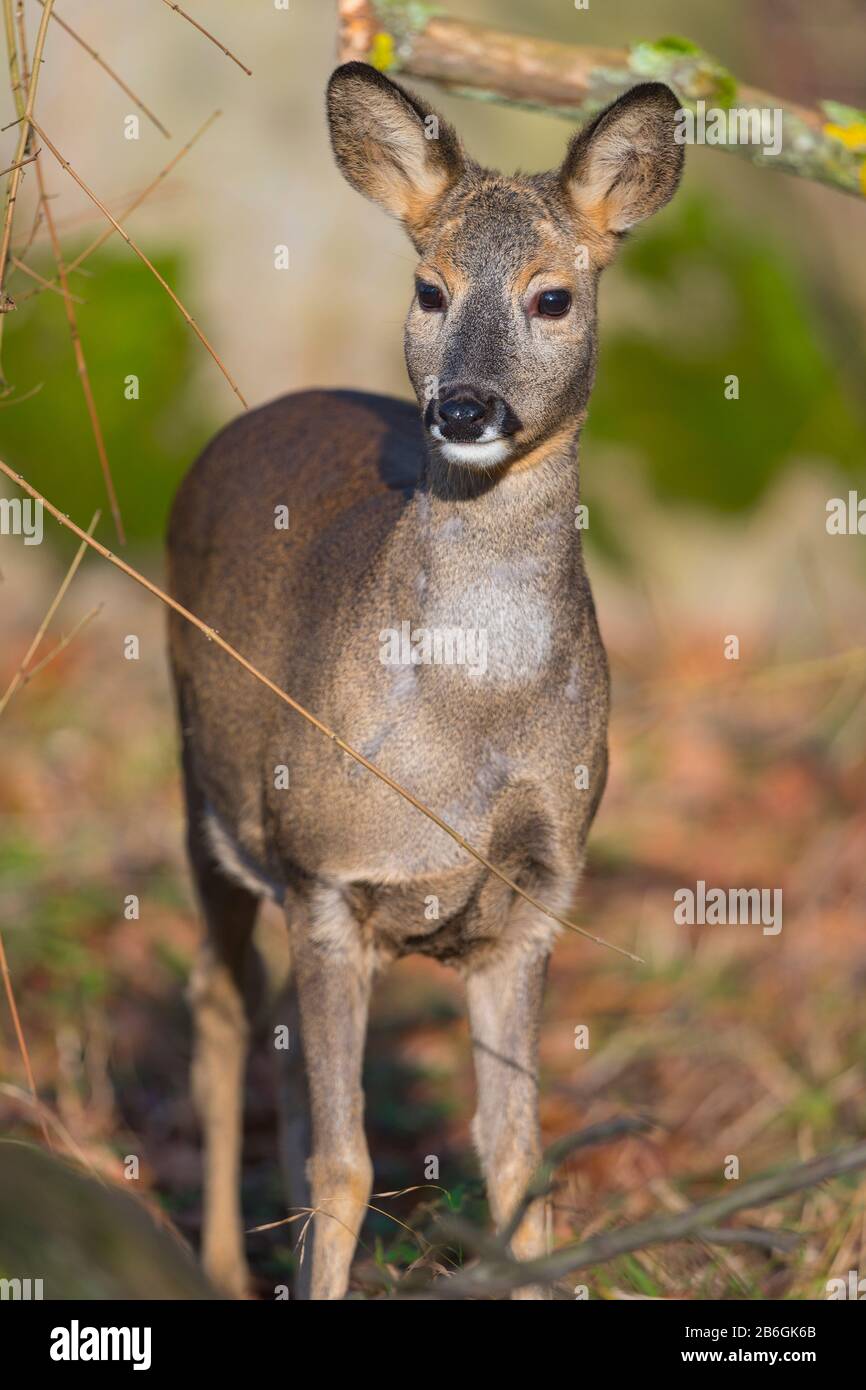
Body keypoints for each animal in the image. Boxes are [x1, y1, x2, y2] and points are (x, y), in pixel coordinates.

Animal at [167, 61, 683, 1300]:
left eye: (553, 296)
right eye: (427, 287)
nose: (463, 406)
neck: (469, 720)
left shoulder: (534, 901)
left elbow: (515, 1152)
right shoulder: (323, 870)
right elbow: (348, 1162)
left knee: (275, 1045)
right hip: (205, 791)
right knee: (219, 1010)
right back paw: (220, 1264)